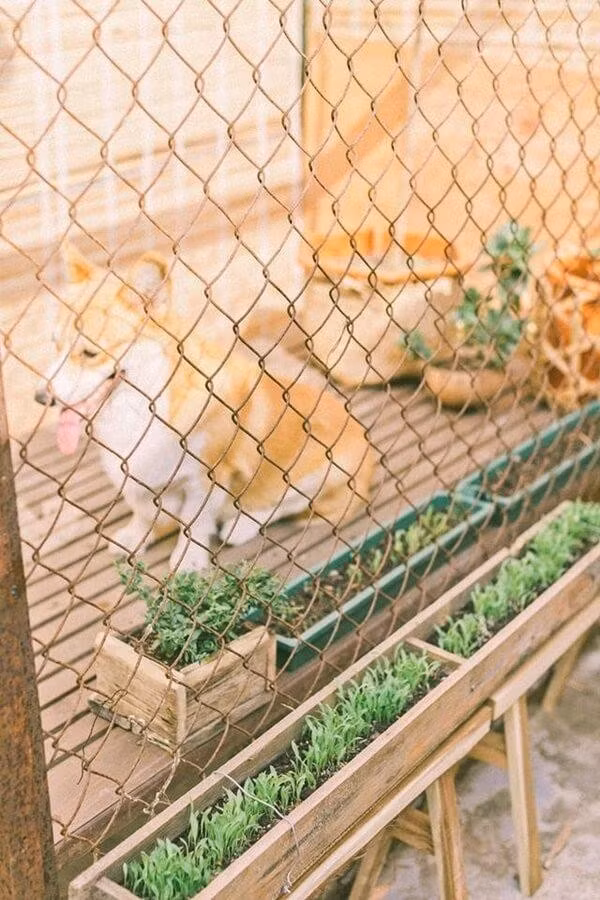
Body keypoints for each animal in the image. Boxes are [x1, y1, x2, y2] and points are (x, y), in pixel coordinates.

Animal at [35, 245, 375, 571]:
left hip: (323, 472)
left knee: (282, 505)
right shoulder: (135, 479)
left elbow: (194, 523)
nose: (41, 398)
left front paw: (188, 558)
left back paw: (240, 526)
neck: (147, 405)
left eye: (90, 353)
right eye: (55, 345)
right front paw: (136, 537)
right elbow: (143, 512)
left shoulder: (206, 478)